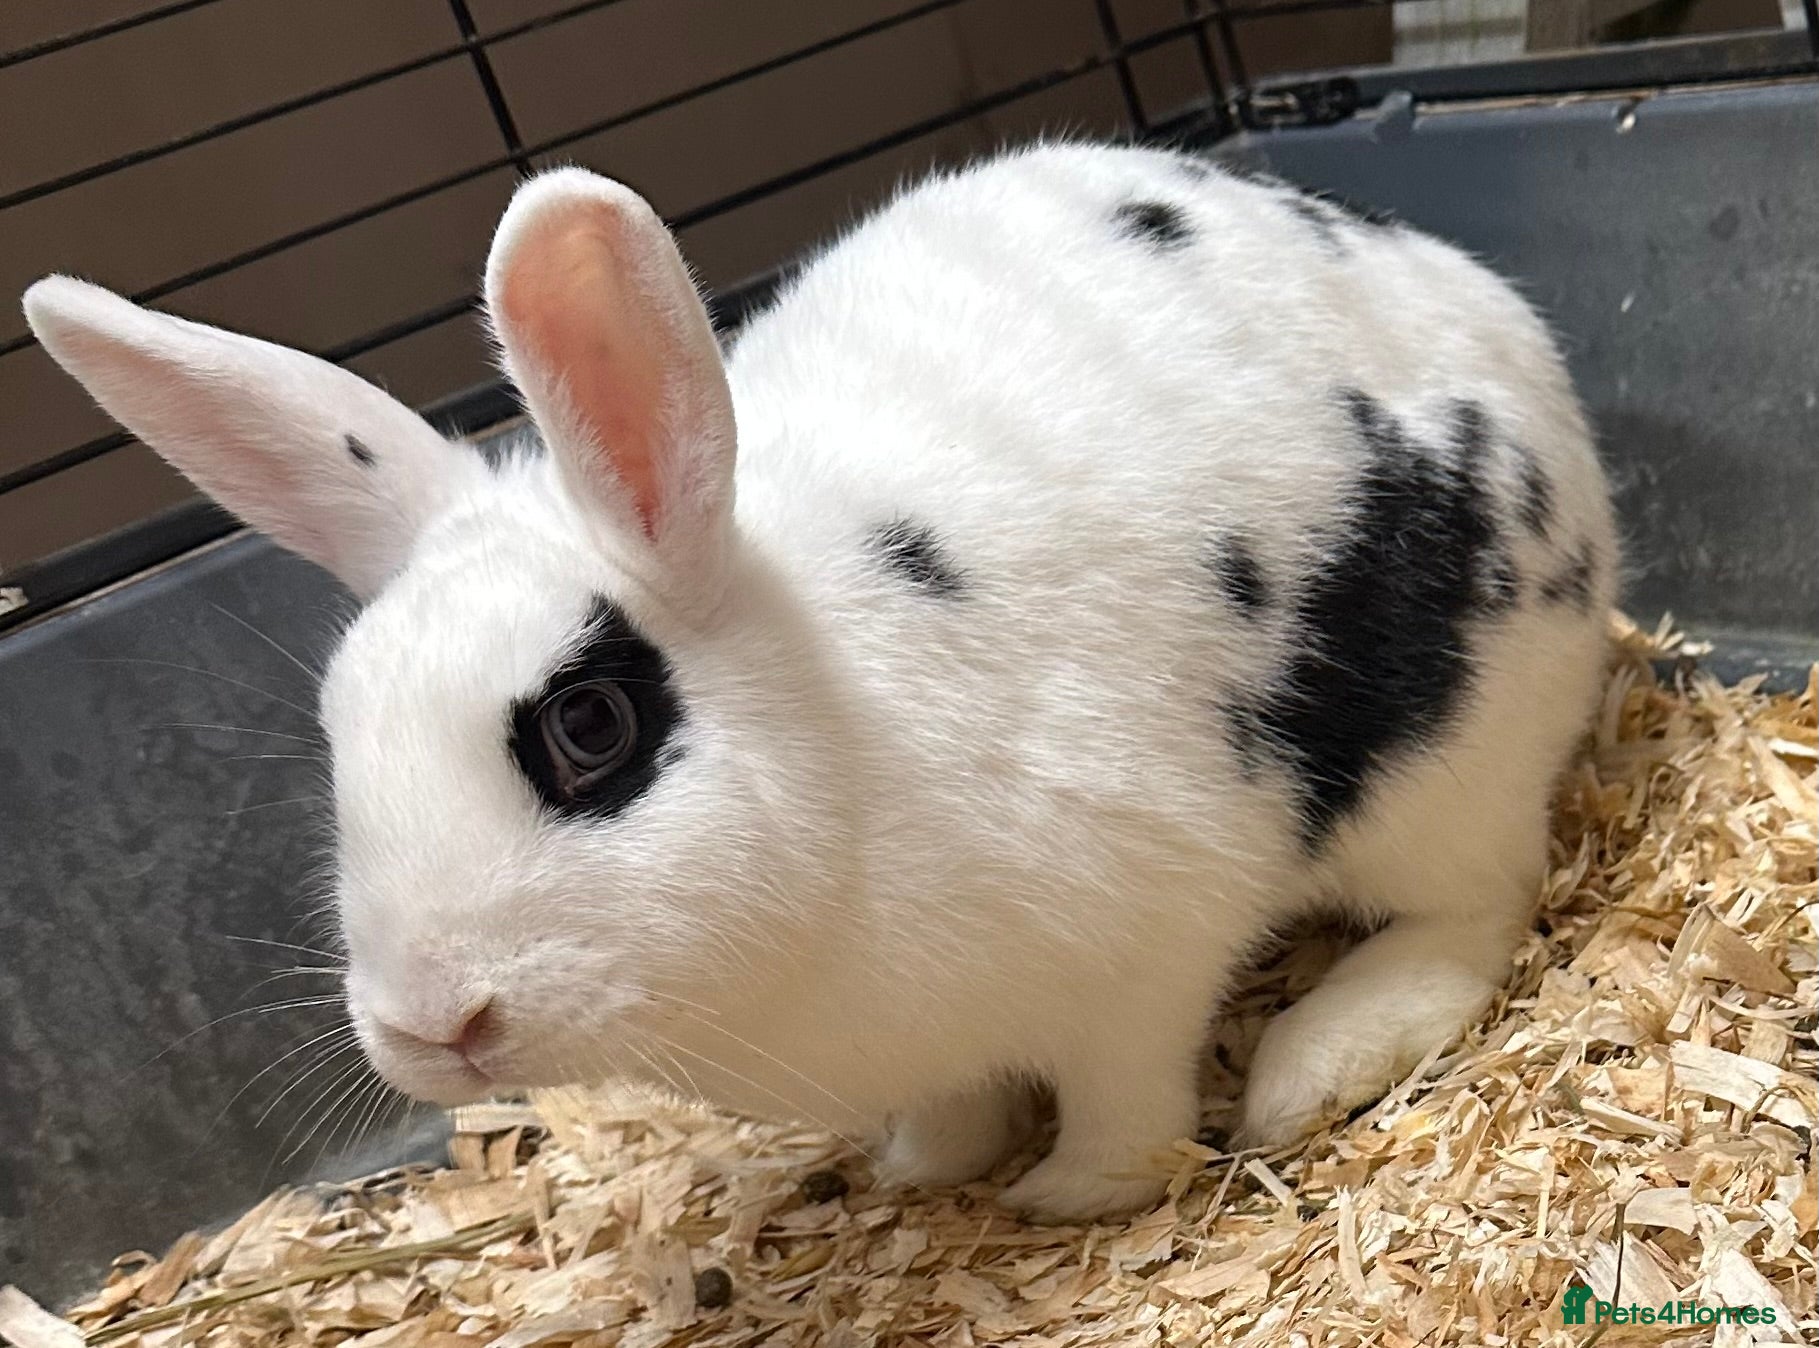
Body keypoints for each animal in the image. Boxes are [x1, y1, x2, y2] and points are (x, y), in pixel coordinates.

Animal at [23, 141, 1616, 1222]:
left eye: (587, 725)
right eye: (337, 731)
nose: (429, 1026)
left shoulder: (1142, 953)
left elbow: (1127, 1094)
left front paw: (1068, 1195)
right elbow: (957, 1100)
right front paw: (928, 1169)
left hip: (1448, 766)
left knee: (1474, 906)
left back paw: (1314, 1060)